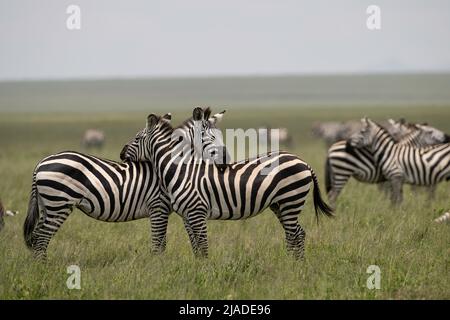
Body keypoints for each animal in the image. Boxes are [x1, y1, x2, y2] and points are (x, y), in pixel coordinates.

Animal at [119, 106, 334, 258]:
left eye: (137, 138)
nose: (121, 154)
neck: (183, 170)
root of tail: (303, 161)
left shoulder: (197, 213)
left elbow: (203, 248)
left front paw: (205, 275)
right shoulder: (186, 217)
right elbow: (196, 248)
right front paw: (197, 271)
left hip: (291, 200)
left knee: (294, 234)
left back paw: (294, 267)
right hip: (280, 204)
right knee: (297, 234)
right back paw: (295, 265)